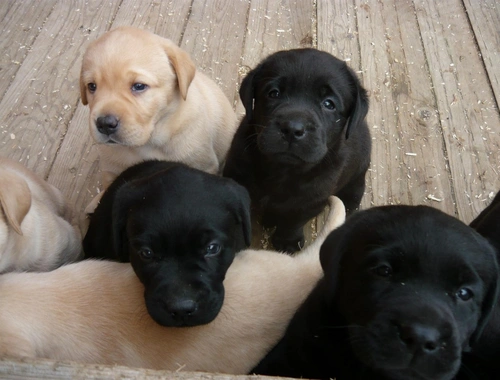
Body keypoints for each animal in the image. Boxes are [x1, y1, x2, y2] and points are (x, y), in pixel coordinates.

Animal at [80, 26, 238, 211]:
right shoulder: (111, 172)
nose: (104, 124)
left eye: (139, 86)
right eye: (92, 86)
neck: (147, 143)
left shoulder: (204, 165)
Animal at [225, 49, 370, 254]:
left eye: (329, 104)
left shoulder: (311, 200)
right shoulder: (237, 175)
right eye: (274, 93)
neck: (282, 170)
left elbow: (293, 221)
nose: (292, 128)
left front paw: (287, 242)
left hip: (355, 183)